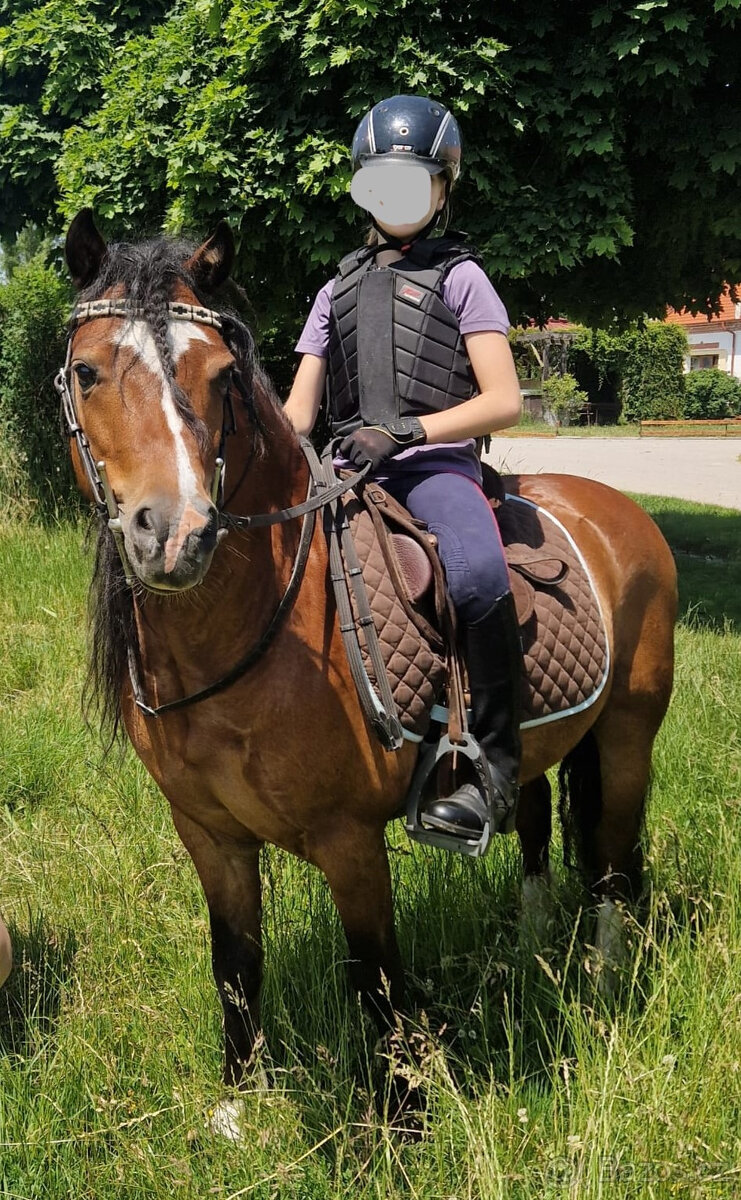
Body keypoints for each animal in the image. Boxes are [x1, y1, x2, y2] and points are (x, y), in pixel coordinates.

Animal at [60, 210, 677, 1104]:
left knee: (610, 862)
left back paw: (600, 978)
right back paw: (530, 949)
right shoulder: (208, 834)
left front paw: (401, 1117)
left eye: (223, 375)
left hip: (628, 735)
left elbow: (378, 987)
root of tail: (616, 511)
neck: (254, 628)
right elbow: (235, 966)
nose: (175, 533)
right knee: (531, 823)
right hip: (543, 743)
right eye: (87, 371)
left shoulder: (349, 840)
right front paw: (238, 1108)